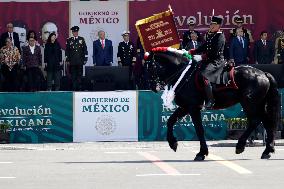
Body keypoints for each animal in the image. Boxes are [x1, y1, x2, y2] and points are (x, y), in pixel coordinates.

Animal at [145, 47, 280, 161]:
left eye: (150, 67)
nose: (153, 87)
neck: (185, 75)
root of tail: (263, 74)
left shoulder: (193, 107)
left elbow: (199, 129)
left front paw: (201, 153)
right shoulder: (185, 107)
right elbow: (170, 121)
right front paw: (173, 143)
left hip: (250, 104)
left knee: (255, 120)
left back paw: (240, 146)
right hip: (258, 104)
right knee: (266, 122)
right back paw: (267, 151)